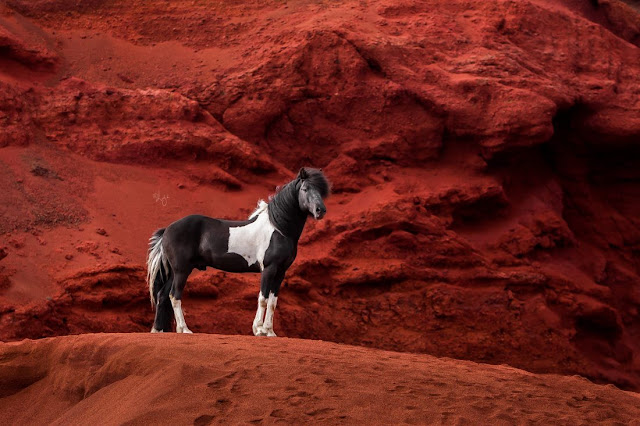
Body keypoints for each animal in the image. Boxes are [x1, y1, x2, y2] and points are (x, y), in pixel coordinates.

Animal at [142, 166, 328, 336]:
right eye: (305, 189)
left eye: (322, 191)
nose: (320, 210)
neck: (278, 229)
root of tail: (167, 230)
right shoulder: (269, 269)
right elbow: (263, 298)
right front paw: (258, 330)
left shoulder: (281, 271)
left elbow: (273, 301)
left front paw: (270, 332)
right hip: (182, 270)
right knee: (175, 295)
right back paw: (184, 329)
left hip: (175, 271)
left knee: (163, 295)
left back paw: (159, 330)